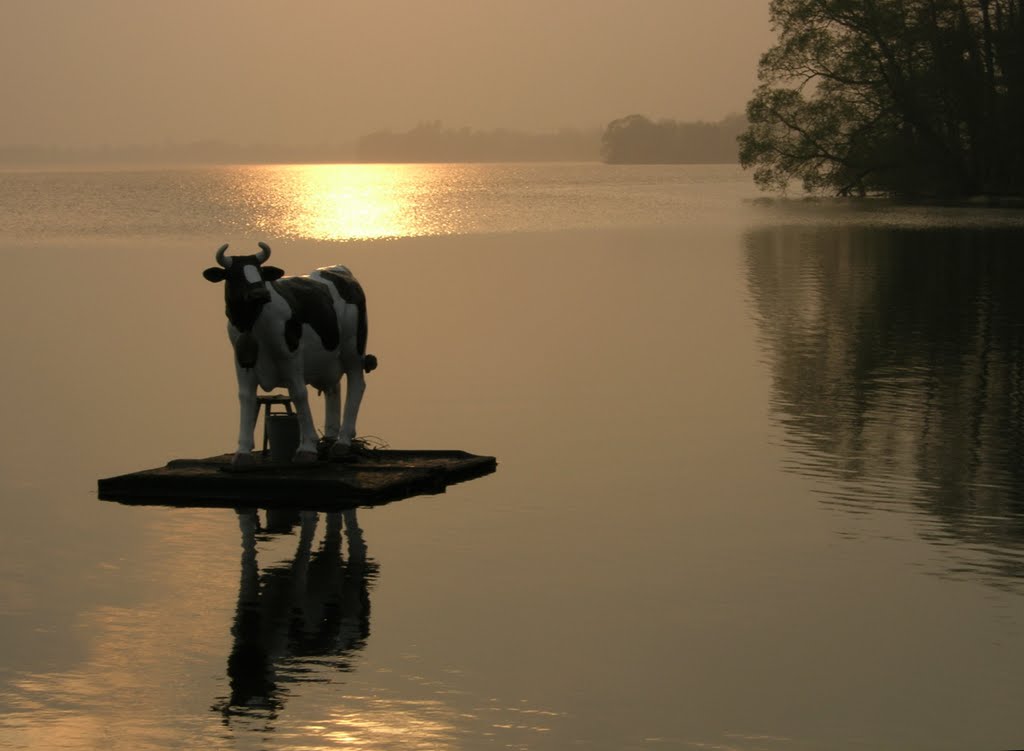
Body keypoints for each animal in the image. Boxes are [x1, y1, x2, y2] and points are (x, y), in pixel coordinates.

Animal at [200, 241, 376, 463]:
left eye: (260, 272)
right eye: (234, 275)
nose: (260, 294)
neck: (255, 326)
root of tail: (338, 269)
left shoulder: (290, 356)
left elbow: (298, 394)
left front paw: (307, 448)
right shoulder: (241, 360)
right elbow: (246, 397)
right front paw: (242, 451)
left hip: (353, 349)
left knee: (356, 384)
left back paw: (342, 442)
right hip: (328, 359)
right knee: (333, 389)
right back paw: (329, 439)